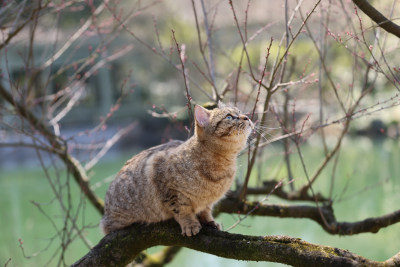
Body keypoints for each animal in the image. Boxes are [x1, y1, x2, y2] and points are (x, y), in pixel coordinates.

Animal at [101, 102, 255, 237]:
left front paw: (209, 221)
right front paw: (189, 224)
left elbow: (206, 211)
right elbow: (182, 210)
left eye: (240, 112)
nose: (247, 117)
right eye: (229, 117)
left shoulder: (208, 202)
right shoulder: (169, 190)